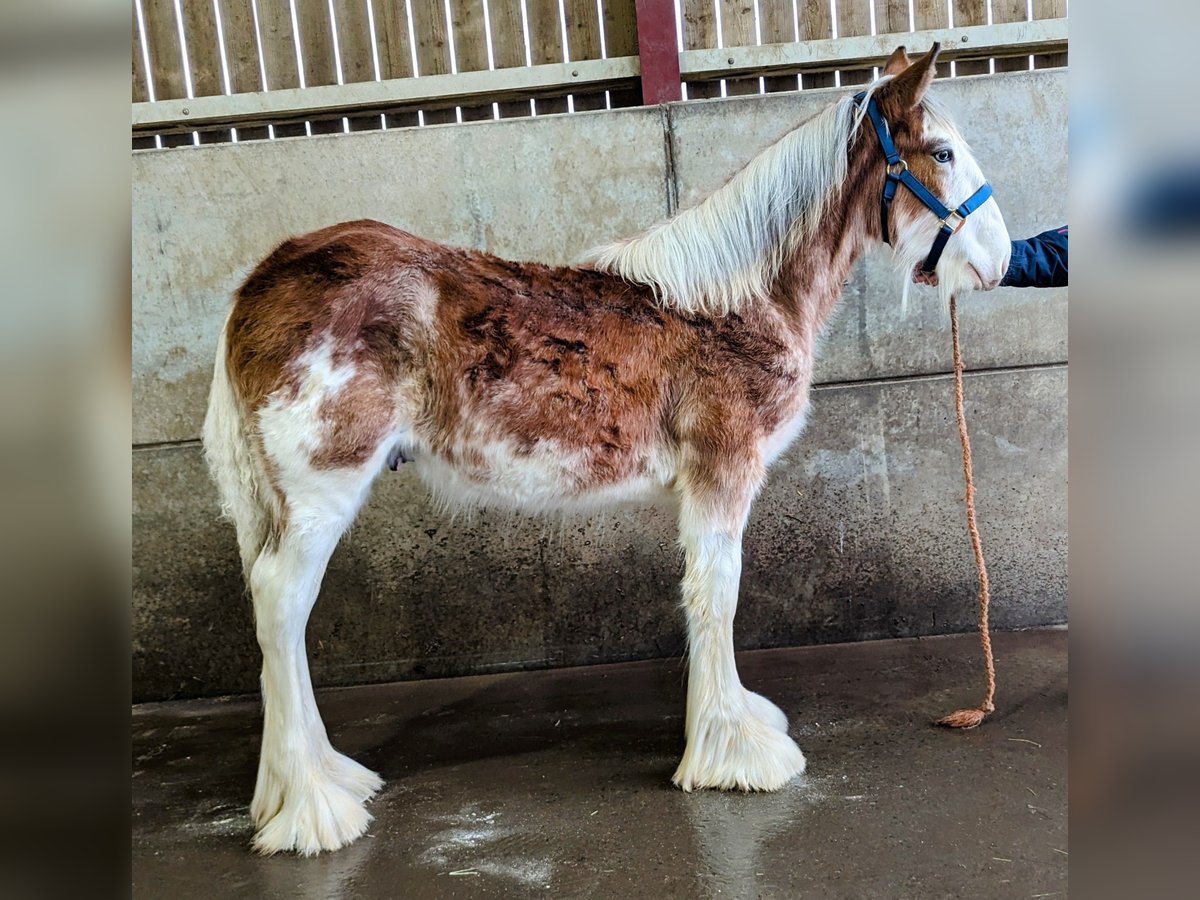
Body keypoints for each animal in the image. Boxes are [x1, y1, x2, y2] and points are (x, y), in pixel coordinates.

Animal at [206, 44, 1012, 859]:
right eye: (942, 152)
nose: (1001, 261)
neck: (735, 302)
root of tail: (261, 282)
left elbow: (706, 594)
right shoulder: (722, 474)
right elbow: (718, 593)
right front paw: (737, 756)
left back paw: (317, 781)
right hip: (322, 490)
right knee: (281, 603)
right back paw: (313, 809)